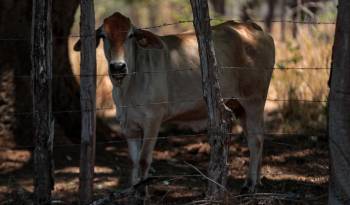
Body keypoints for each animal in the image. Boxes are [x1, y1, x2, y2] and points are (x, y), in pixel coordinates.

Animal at [75, 12, 274, 192]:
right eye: (103, 35)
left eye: (130, 35)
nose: (118, 67)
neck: (128, 85)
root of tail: (252, 28)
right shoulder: (128, 125)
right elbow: (134, 161)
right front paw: (133, 189)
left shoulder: (153, 120)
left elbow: (143, 160)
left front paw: (142, 191)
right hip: (239, 106)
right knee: (255, 137)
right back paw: (258, 181)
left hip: (254, 100)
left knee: (255, 139)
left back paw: (250, 183)